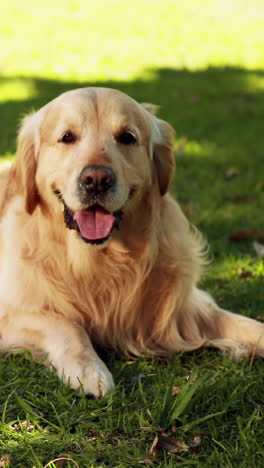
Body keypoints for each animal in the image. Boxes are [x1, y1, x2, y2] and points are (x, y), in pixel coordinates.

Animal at [0, 88, 262, 394]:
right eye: (67, 137)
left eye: (127, 137)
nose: (97, 179)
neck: (100, 259)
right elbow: (65, 323)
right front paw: (89, 369)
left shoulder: (187, 309)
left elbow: (250, 325)